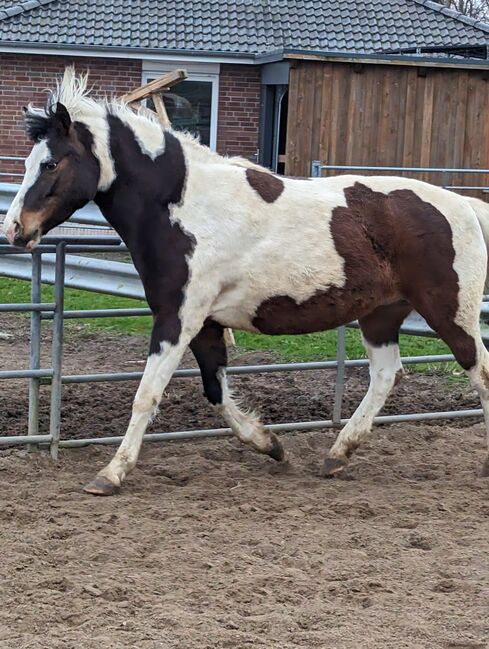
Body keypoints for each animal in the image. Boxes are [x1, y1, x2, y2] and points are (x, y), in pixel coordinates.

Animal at [5, 69, 488, 496]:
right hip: (381, 316)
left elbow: (147, 393)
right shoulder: (205, 323)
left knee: (478, 369)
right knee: (387, 374)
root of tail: (463, 205)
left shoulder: (178, 318)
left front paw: (110, 475)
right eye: (28, 162)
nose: (14, 229)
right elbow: (215, 391)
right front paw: (272, 445)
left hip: (449, 312)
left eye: (50, 163)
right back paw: (336, 455)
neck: (182, 205)